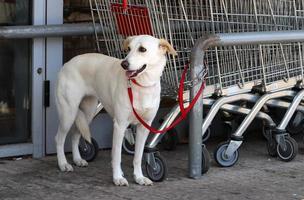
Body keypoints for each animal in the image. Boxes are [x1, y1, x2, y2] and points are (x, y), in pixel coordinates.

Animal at [54, 34, 176, 186]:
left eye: (142, 49)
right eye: (128, 49)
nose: (124, 64)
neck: (141, 85)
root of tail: (67, 63)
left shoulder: (144, 127)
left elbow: (138, 156)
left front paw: (139, 177)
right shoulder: (120, 125)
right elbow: (117, 156)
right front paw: (118, 178)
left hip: (88, 113)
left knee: (75, 135)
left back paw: (77, 159)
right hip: (68, 114)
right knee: (59, 138)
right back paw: (63, 164)